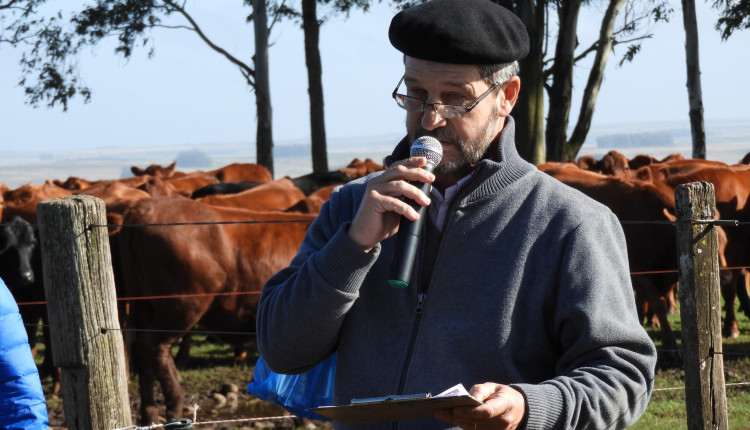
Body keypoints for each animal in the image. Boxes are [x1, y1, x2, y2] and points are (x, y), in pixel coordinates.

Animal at [117, 195, 318, 424]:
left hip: (145, 306)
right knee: (153, 346)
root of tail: (145, 206)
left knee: (142, 352)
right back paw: (175, 405)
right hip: (182, 306)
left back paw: (150, 417)